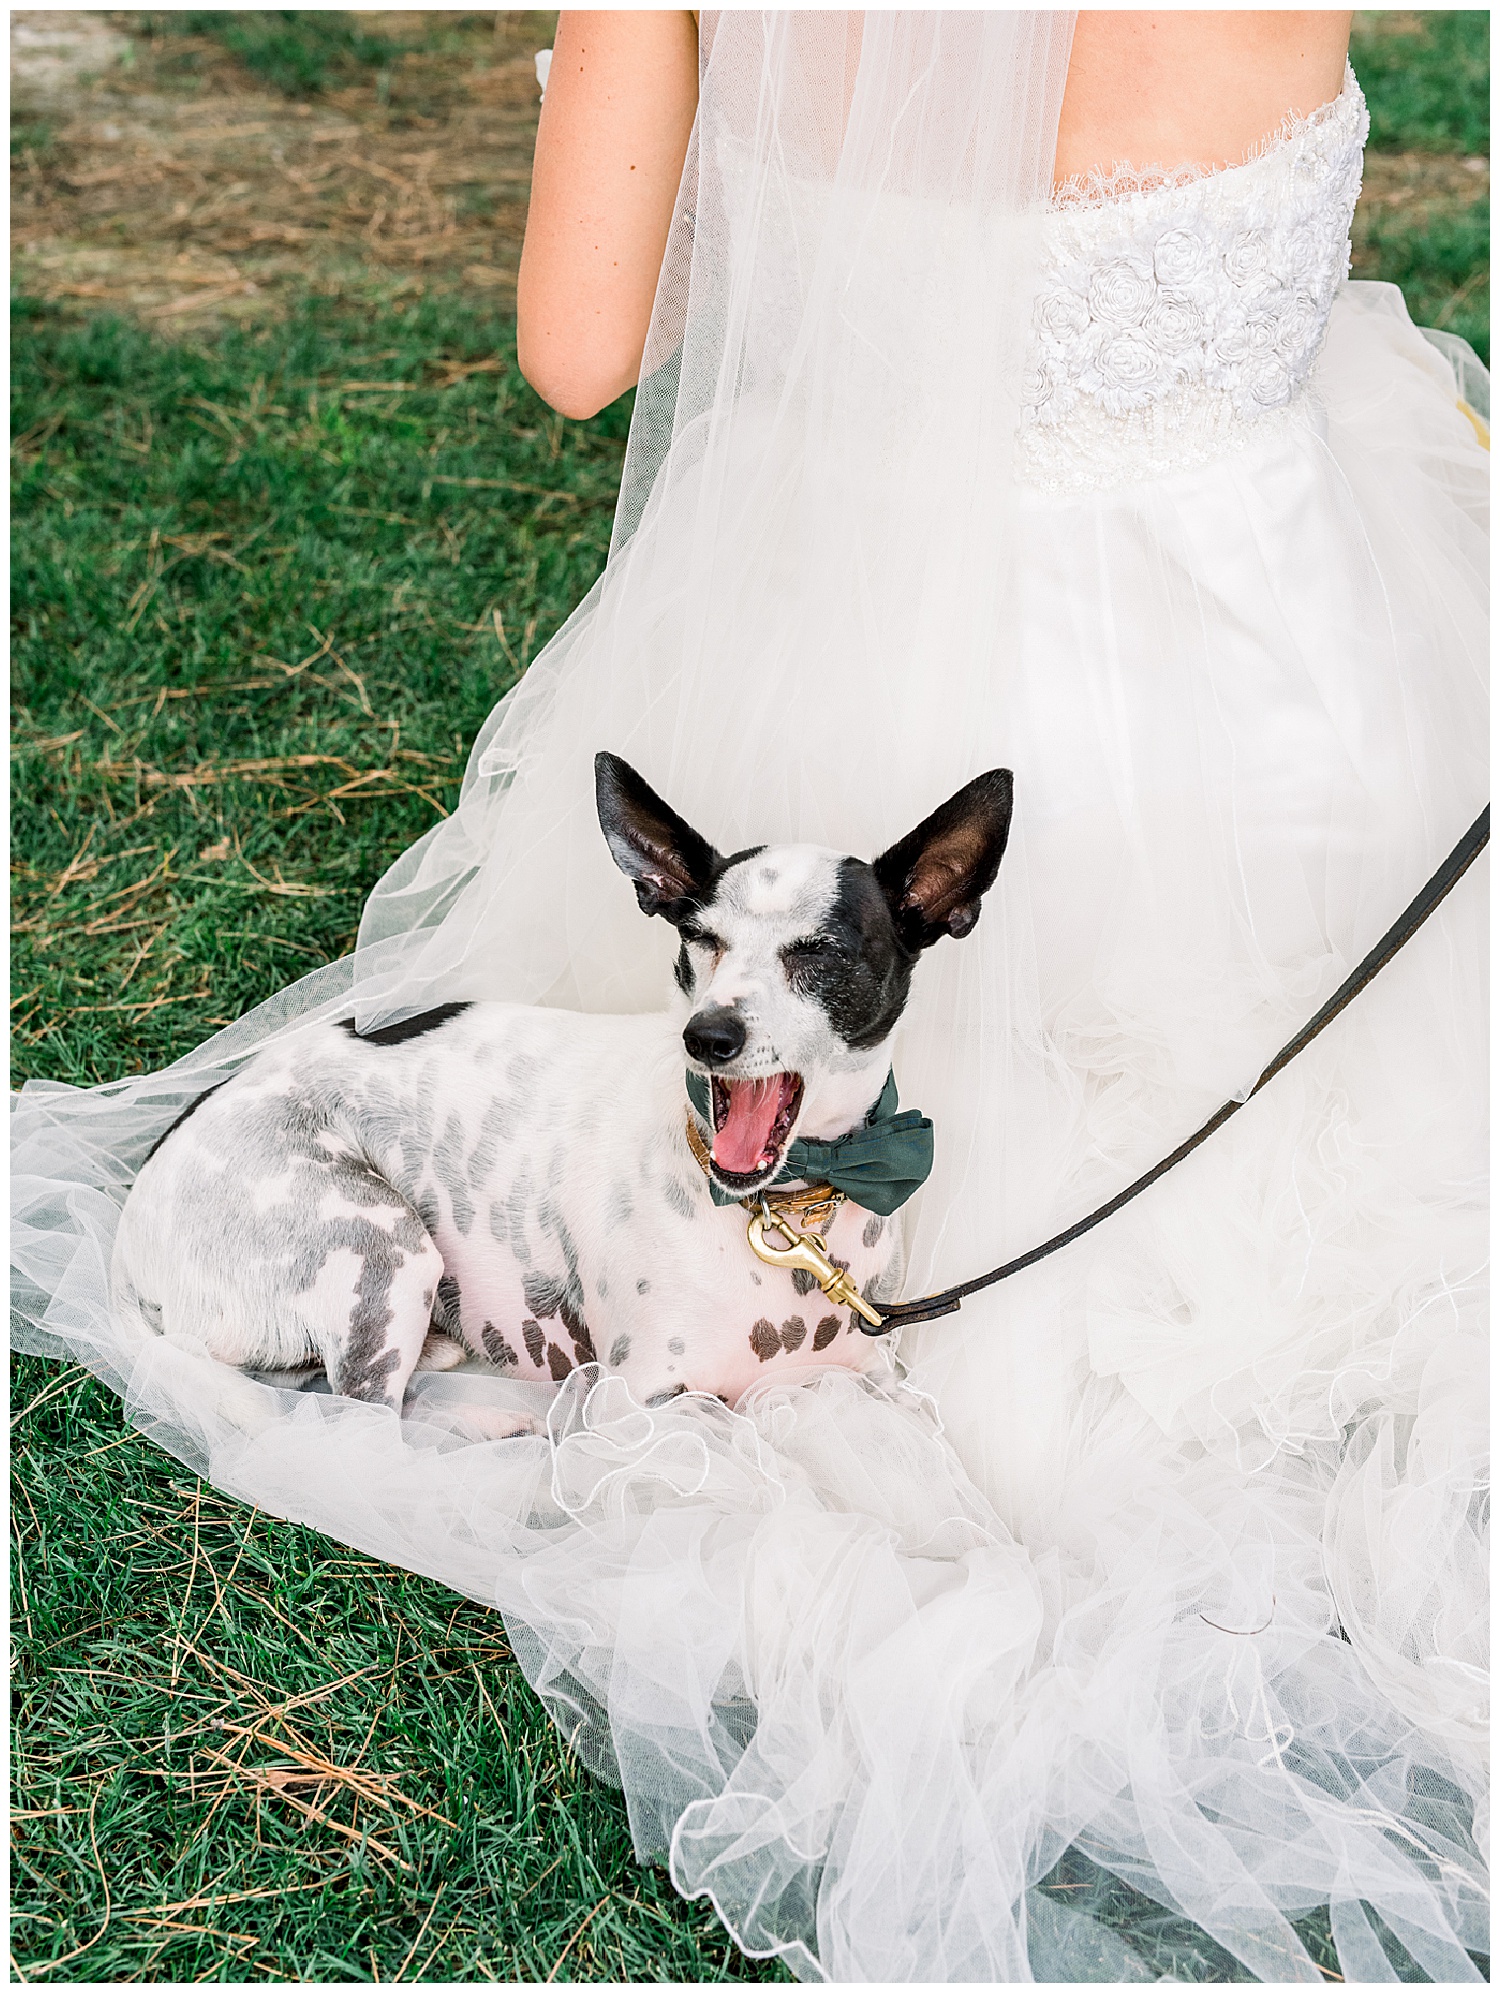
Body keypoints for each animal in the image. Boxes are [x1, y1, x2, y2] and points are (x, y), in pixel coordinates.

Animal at [111, 749, 1011, 1419]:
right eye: (700, 938)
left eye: (821, 951)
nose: (707, 1035)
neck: (789, 1209)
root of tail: (134, 1230)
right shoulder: (641, 1402)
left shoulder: (878, 1379)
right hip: (382, 1246)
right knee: (359, 1416)